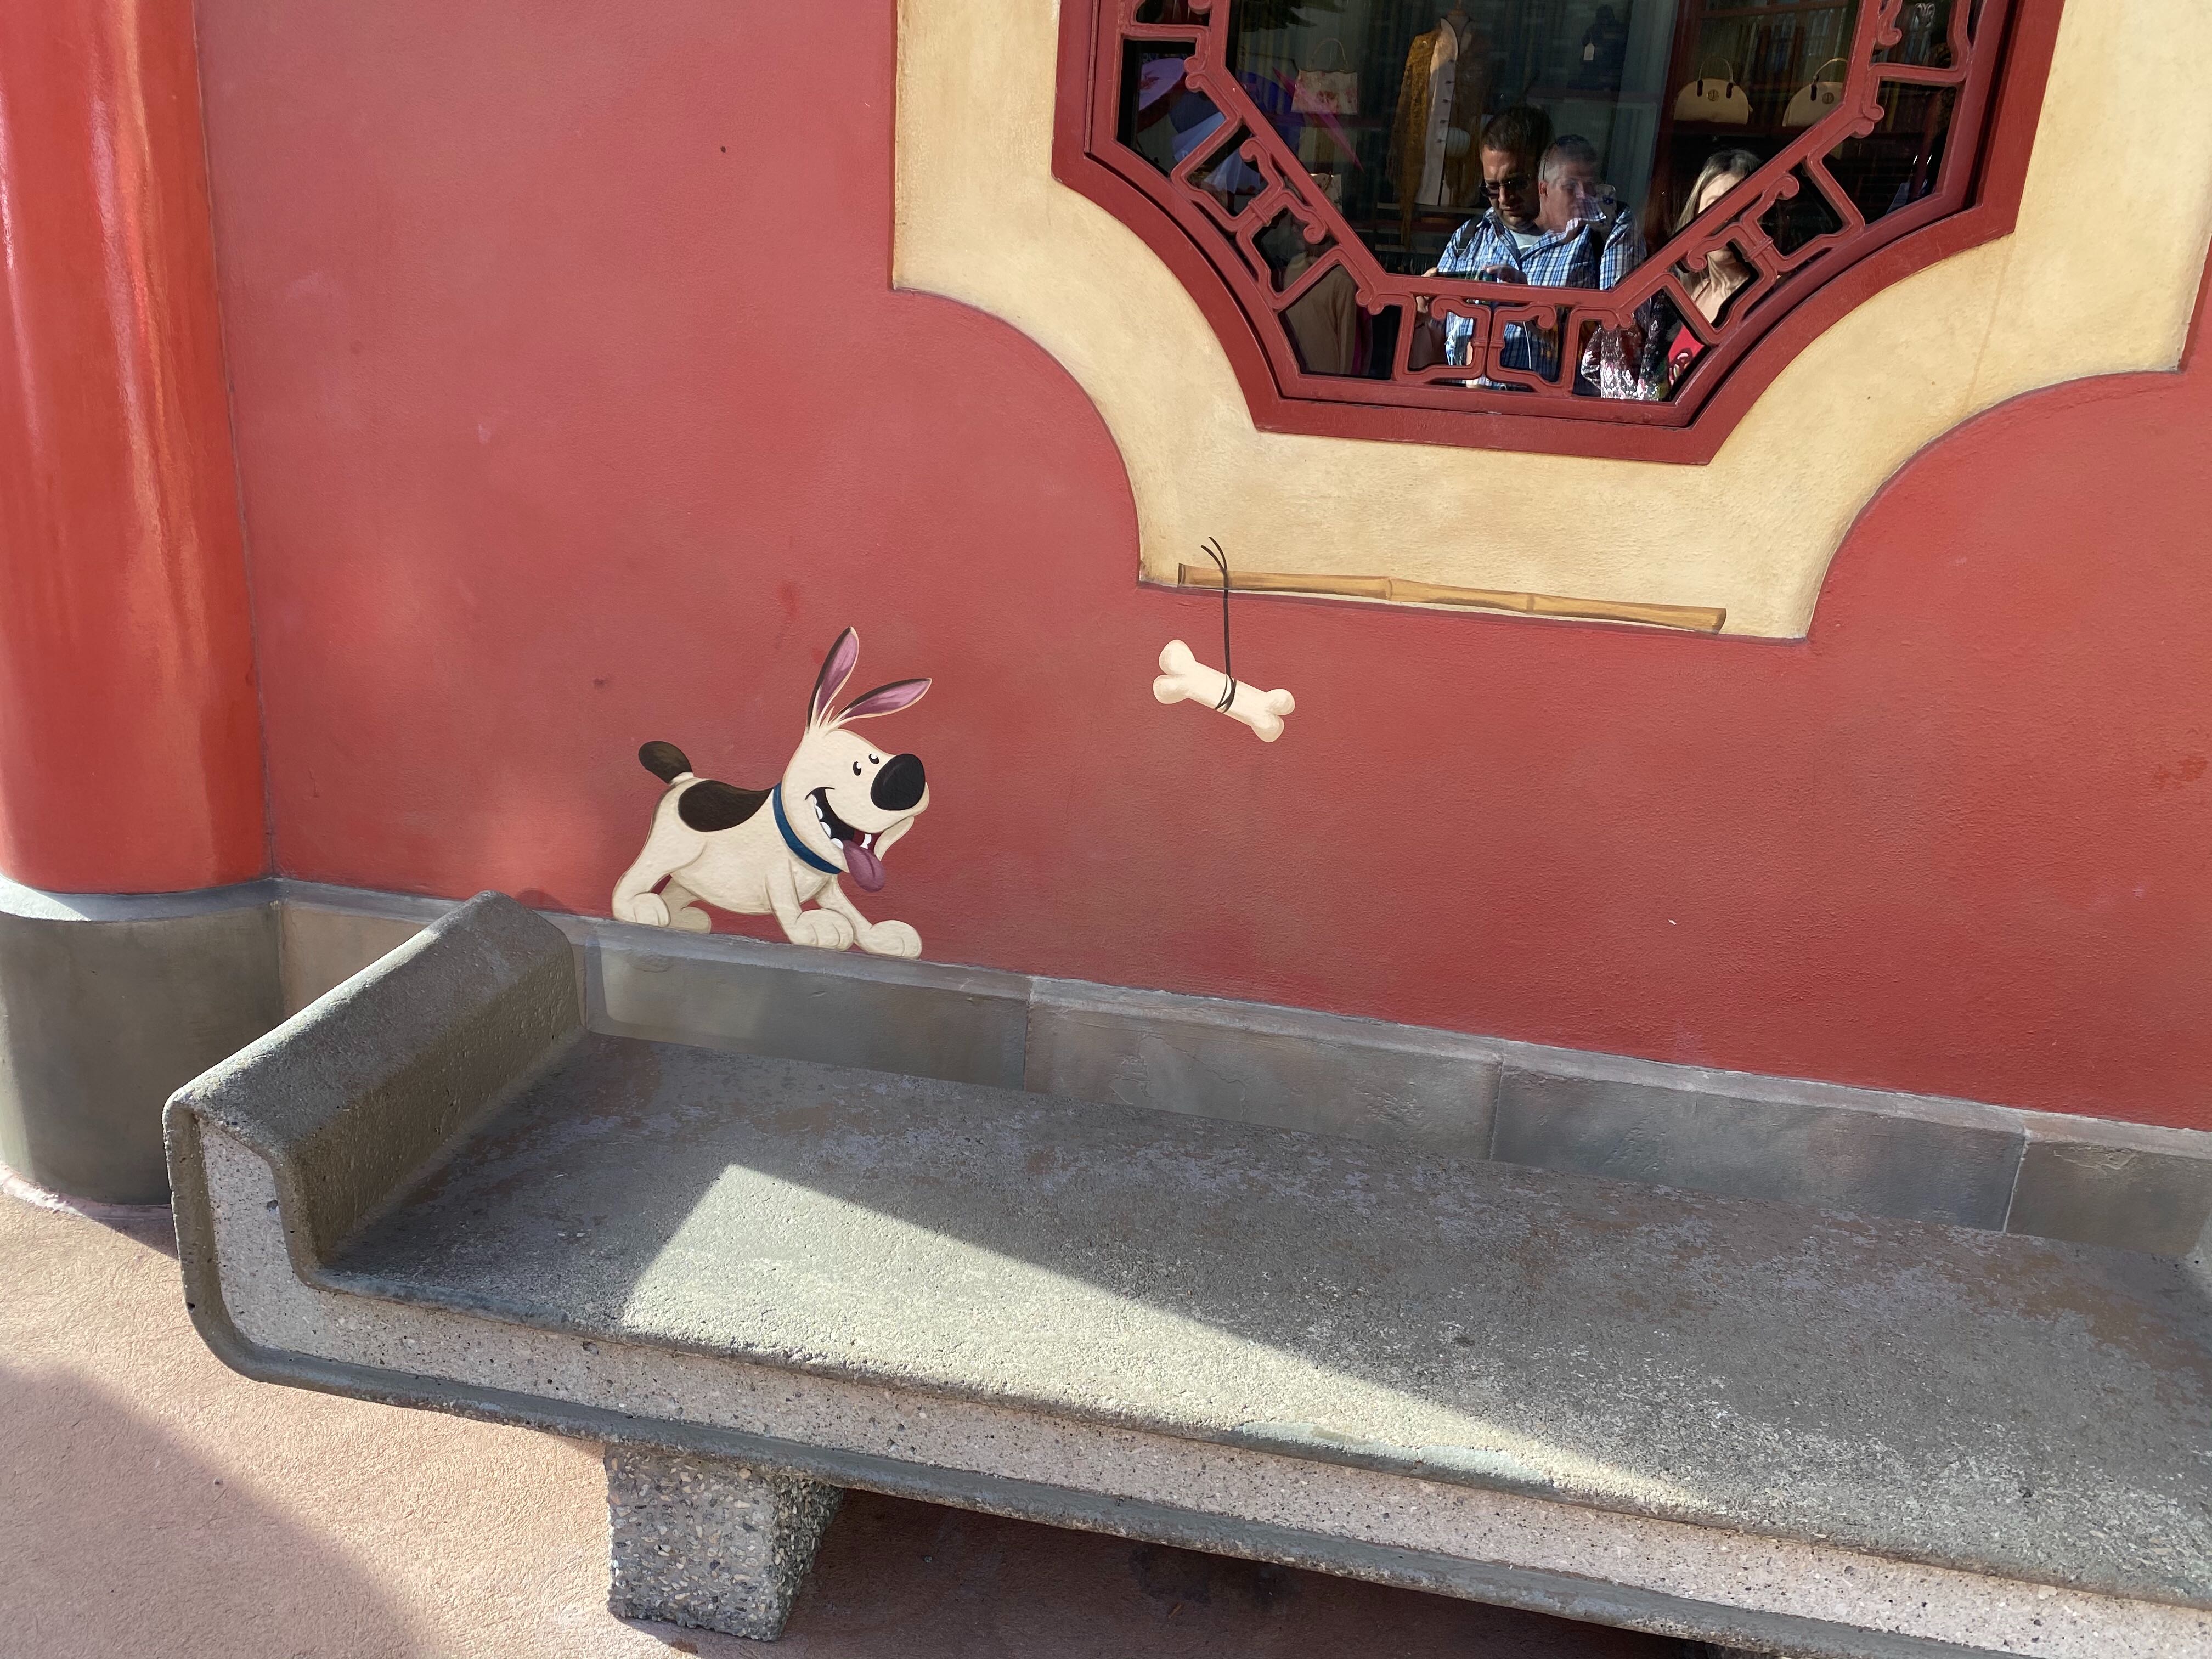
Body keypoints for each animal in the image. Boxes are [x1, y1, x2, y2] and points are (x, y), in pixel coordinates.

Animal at [612, 628, 931, 955]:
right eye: (859, 765)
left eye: (876, 756)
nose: (908, 771)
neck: (795, 837)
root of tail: (685, 780)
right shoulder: (777, 875)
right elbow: (790, 907)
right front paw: (816, 928)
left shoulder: (828, 888)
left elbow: (852, 912)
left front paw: (885, 938)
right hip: (669, 848)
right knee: (637, 877)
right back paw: (639, 907)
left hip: (698, 873)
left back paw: (682, 919)